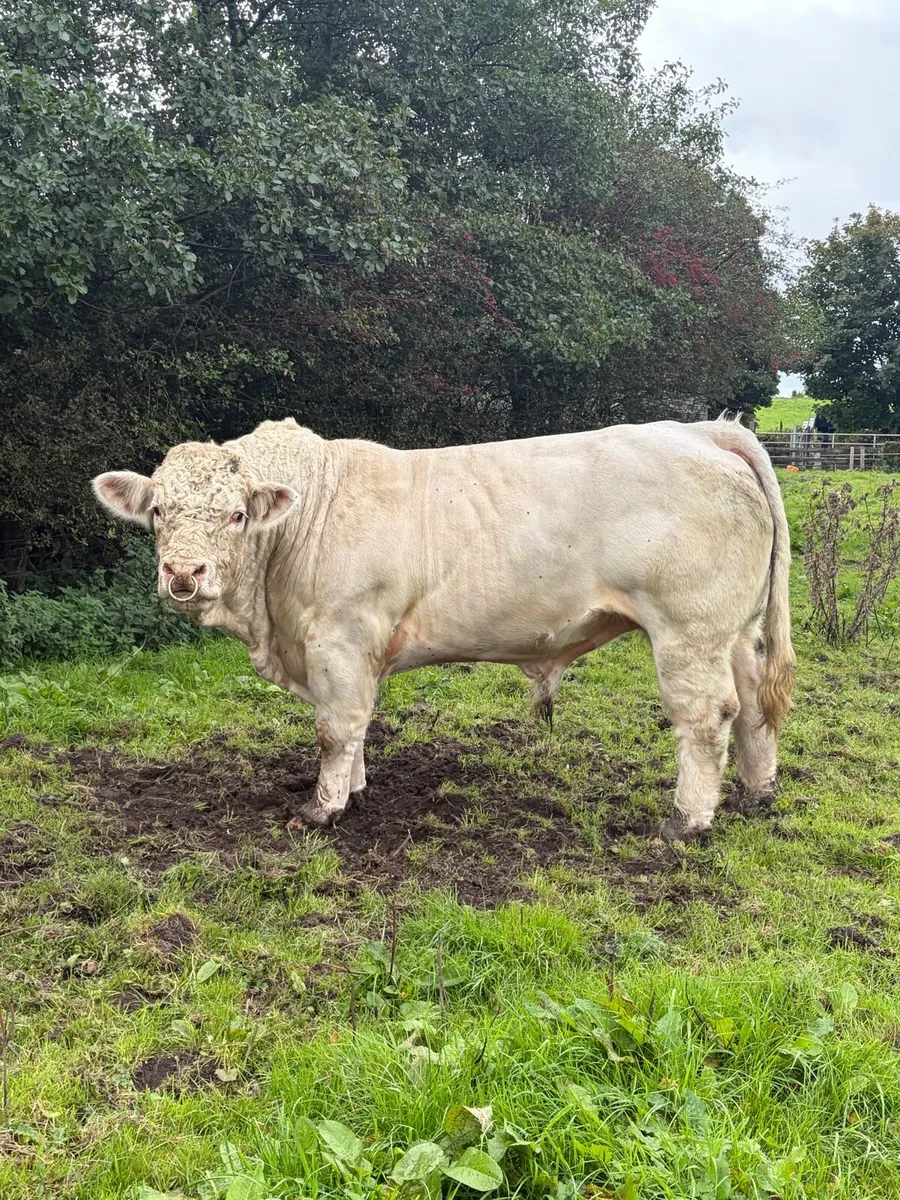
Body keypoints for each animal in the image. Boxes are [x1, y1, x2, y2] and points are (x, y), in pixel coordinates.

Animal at [92, 415, 795, 843]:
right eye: (158, 511)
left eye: (236, 514)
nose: (184, 573)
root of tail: (703, 431)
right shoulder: (354, 649)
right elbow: (357, 724)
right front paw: (356, 790)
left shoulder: (340, 635)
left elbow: (335, 727)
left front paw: (322, 808)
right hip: (734, 630)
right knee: (754, 703)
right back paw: (758, 791)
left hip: (687, 630)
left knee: (706, 717)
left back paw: (687, 820)